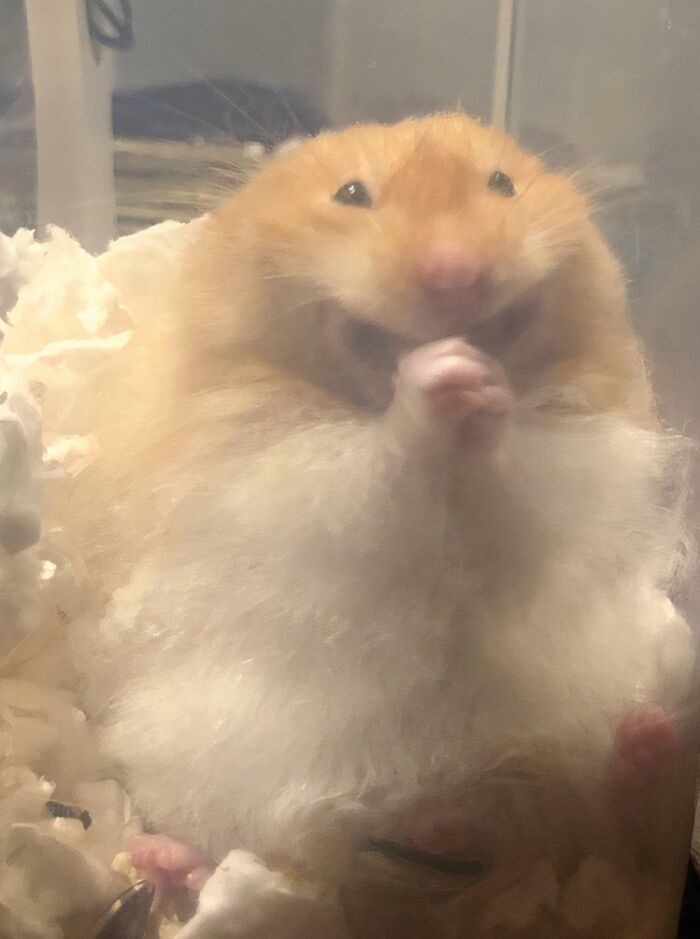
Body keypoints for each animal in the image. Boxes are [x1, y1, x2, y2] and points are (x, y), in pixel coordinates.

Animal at [57, 114, 693, 936]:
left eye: (502, 184)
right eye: (352, 194)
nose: (456, 274)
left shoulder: (569, 466)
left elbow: (510, 484)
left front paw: (476, 382)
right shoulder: (280, 477)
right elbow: (381, 467)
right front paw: (441, 373)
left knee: (599, 813)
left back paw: (644, 744)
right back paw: (174, 859)